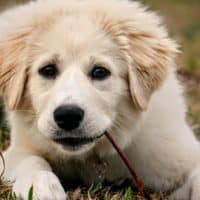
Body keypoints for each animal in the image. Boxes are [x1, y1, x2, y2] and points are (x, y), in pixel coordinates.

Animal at [0, 0, 200, 200]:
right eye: (48, 70)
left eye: (99, 72)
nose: (68, 116)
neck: (91, 157)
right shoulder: (18, 149)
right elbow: (30, 159)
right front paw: (40, 187)